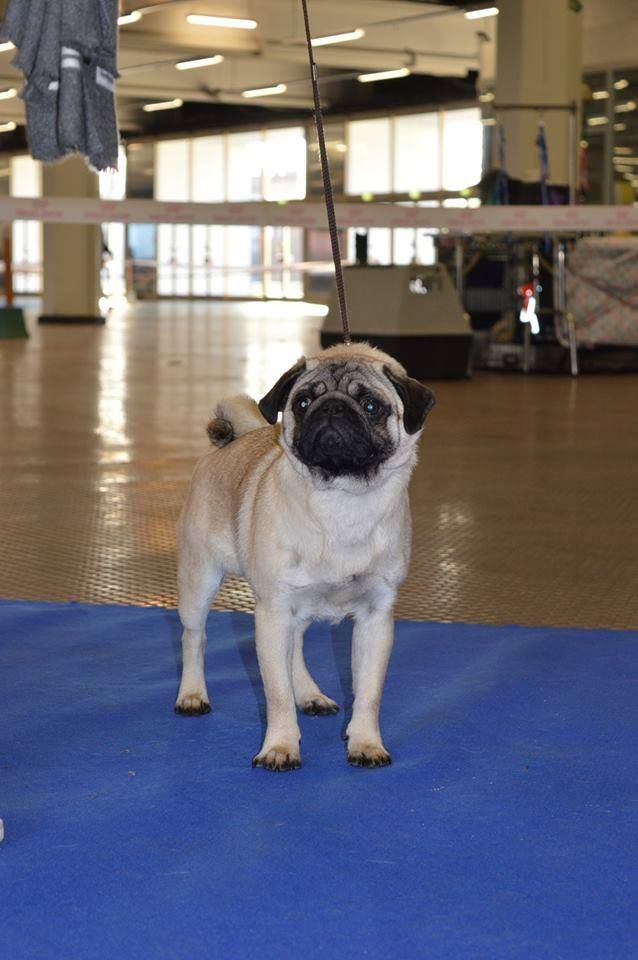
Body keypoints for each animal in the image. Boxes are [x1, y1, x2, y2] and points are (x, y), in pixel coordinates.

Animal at [175, 342, 436, 768]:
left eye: (371, 405)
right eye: (302, 402)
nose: (332, 408)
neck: (342, 500)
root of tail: (232, 440)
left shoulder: (375, 618)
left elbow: (369, 692)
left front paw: (365, 742)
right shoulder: (272, 611)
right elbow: (276, 694)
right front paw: (280, 747)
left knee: (295, 646)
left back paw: (310, 694)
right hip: (199, 581)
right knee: (193, 637)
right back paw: (192, 695)